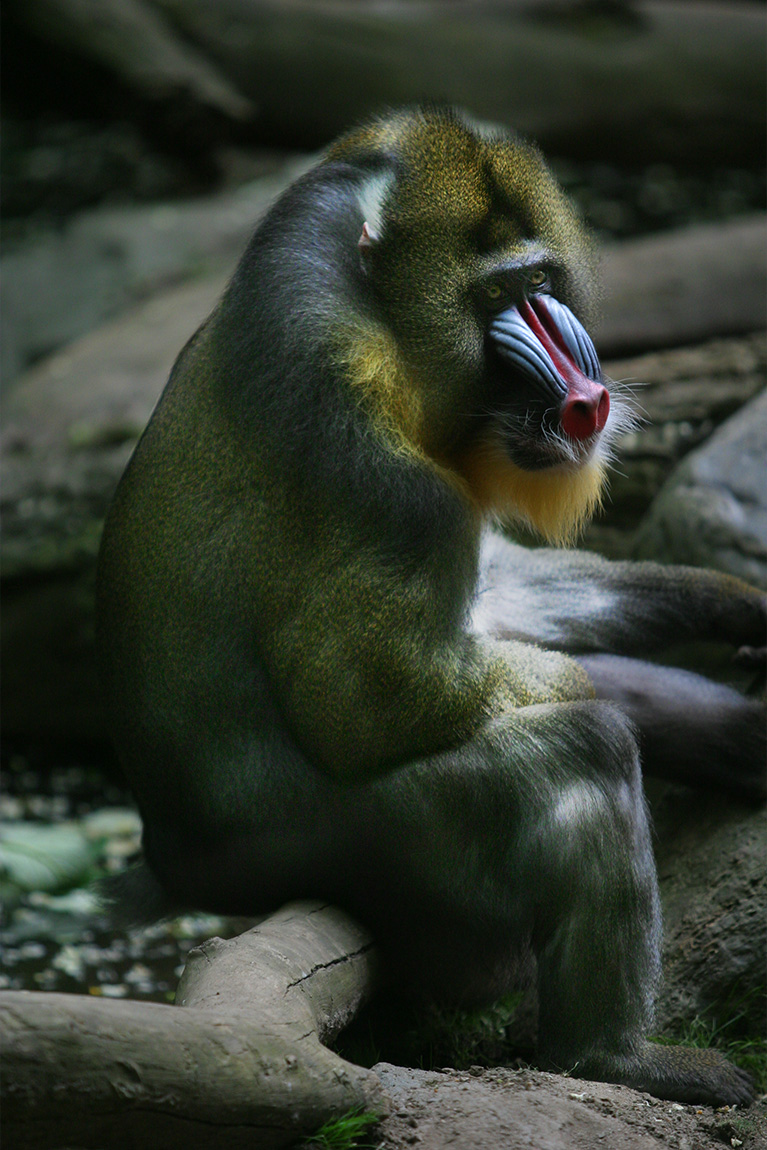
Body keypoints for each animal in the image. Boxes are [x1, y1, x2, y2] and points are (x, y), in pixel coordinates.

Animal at [96, 105, 765, 1107]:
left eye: (540, 281)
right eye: (497, 295)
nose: (585, 390)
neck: (380, 312)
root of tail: (174, 852)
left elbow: (494, 589)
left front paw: (734, 604)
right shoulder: (368, 452)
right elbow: (378, 701)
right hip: (372, 840)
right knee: (584, 751)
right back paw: (614, 1056)